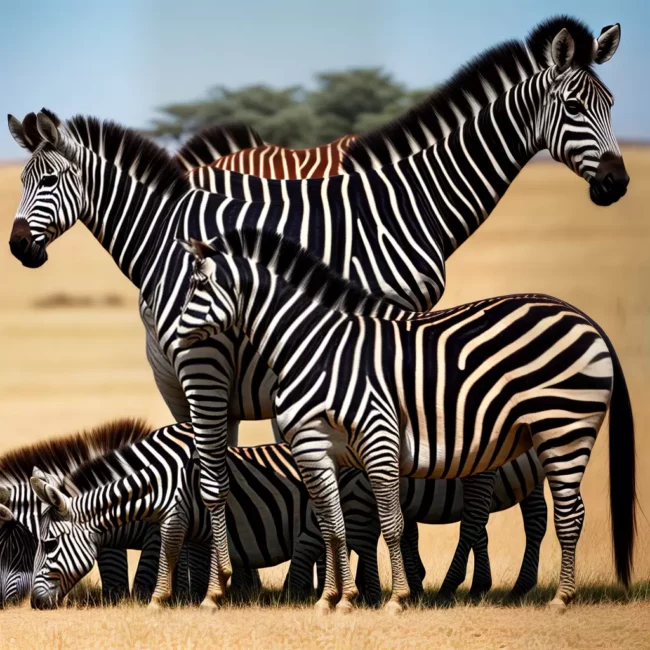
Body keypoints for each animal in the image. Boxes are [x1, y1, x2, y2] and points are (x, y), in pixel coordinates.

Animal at [175, 235, 635, 614]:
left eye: (199, 287)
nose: (177, 339)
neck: (315, 348)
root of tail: (585, 319)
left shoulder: (378, 437)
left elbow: (391, 524)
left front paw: (395, 598)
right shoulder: (316, 449)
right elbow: (333, 526)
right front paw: (335, 599)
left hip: (564, 426)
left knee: (570, 513)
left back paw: (561, 599)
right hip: (544, 435)